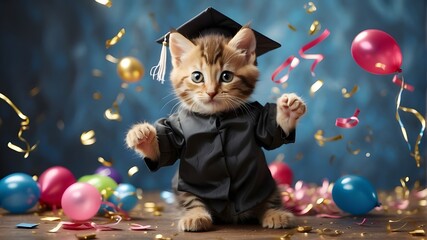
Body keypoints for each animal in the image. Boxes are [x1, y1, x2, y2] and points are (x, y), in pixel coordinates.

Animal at [125, 25, 306, 231]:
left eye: (226, 76)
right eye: (197, 77)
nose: (211, 92)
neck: (216, 117)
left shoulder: (257, 119)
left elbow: (271, 135)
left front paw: (288, 112)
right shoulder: (178, 127)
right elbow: (166, 150)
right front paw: (142, 136)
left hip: (267, 183)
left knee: (267, 199)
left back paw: (275, 213)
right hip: (183, 187)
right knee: (191, 200)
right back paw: (195, 215)